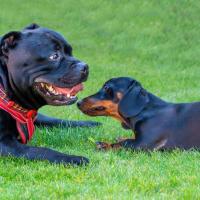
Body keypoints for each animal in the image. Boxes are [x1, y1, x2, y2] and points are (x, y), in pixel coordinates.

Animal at [0, 23, 99, 166]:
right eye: (54, 56)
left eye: (70, 51)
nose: (85, 66)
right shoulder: (5, 143)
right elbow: (40, 151)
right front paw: (73, 158)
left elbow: (55, 120)